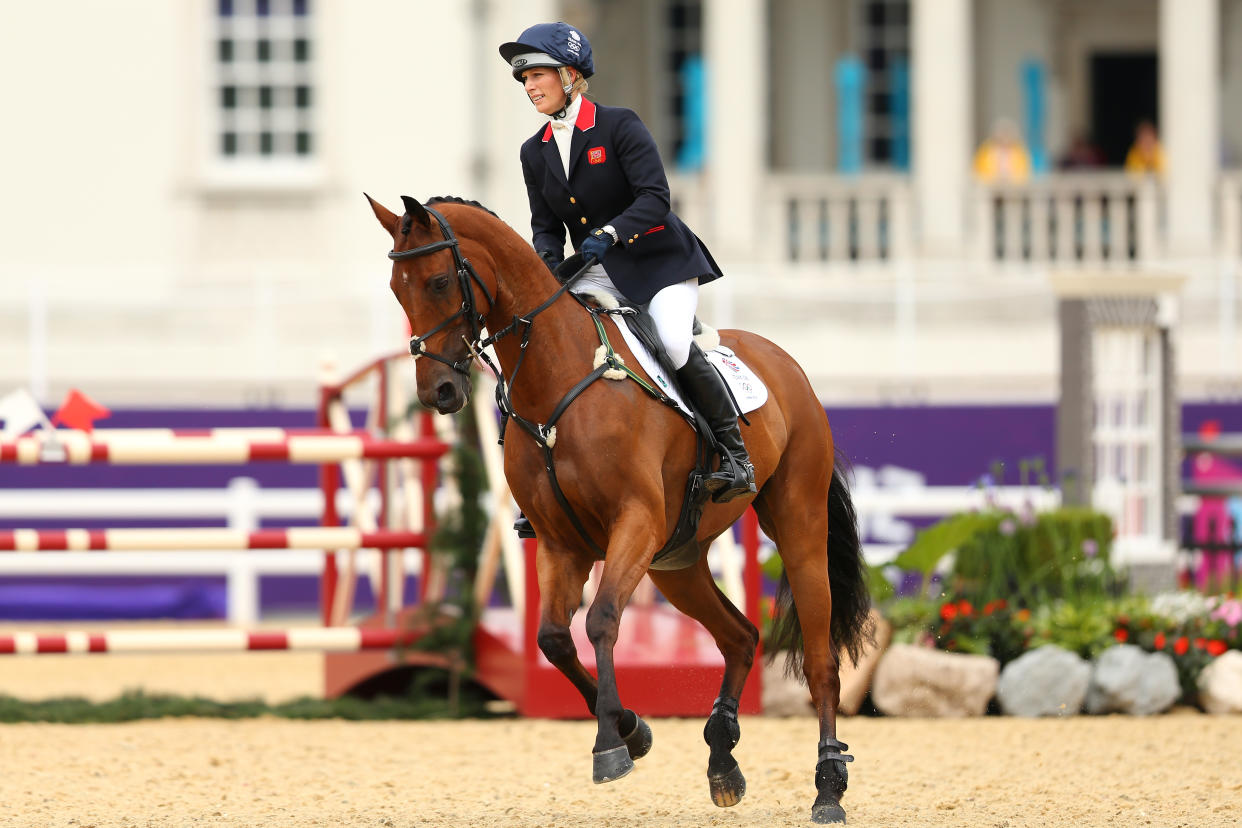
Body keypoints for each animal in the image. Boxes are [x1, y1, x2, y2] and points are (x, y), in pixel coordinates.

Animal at [367, 192, 874, 824]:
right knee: (739, 636)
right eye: (396, 288)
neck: (555, 374)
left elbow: (601, 619)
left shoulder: (633, 522)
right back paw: (722, 759)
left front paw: (611, 745)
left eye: (438, 282)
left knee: (820, 659)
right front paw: (633, 730)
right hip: (676, 562)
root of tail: (785, 363)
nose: (436, 393)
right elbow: (553, 638)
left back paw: (828, 786)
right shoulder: (561, 542)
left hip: (796, 528)